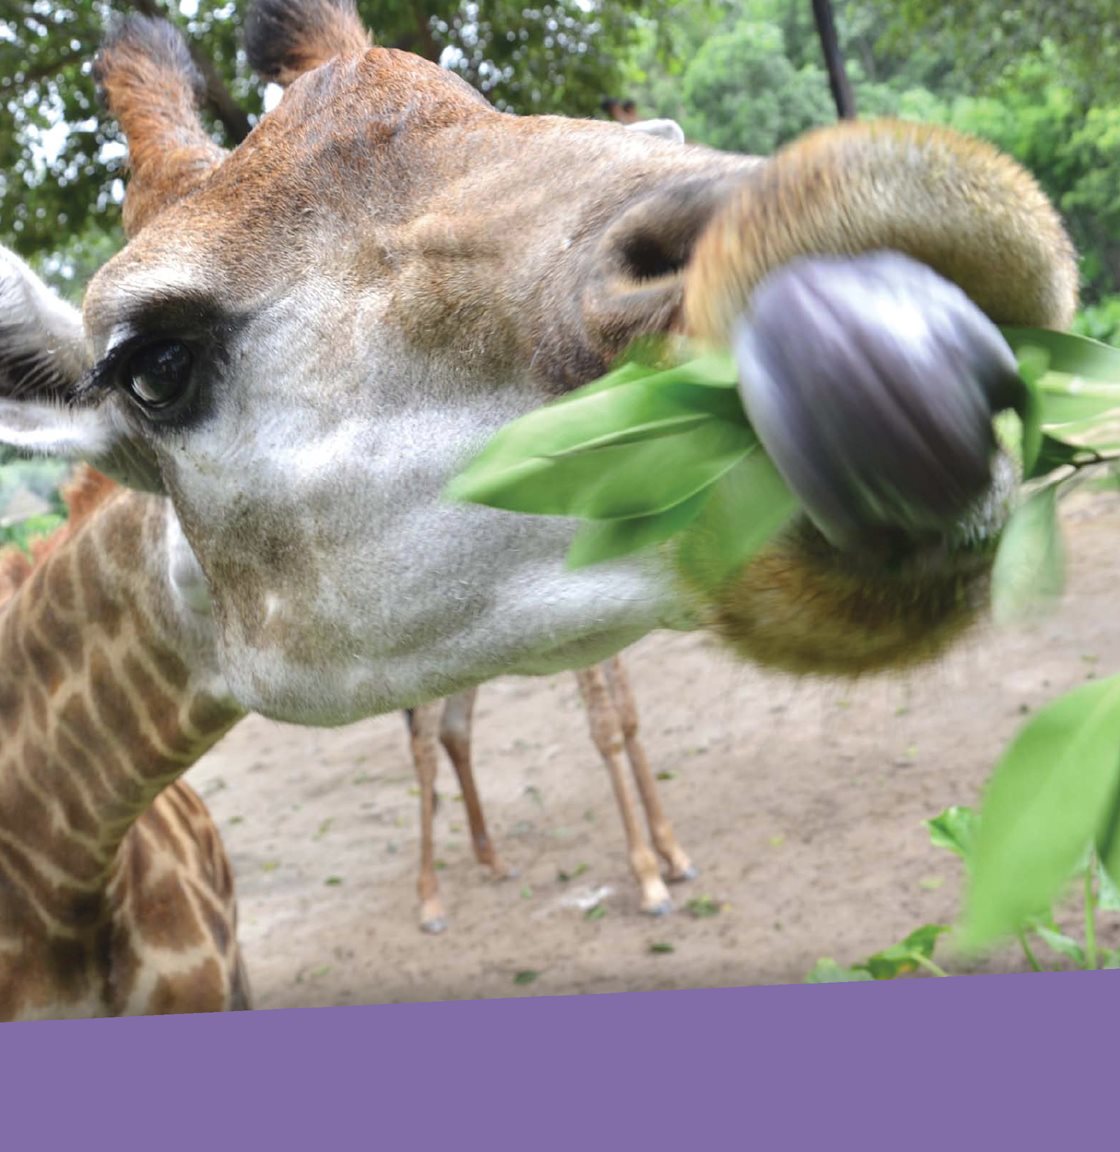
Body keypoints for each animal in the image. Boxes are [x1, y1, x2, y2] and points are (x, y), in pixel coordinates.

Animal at [407, 654, 695, 930]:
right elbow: (607, 728)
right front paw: (650, 883)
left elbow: (628, 715)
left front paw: (673, 856)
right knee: (424, 746)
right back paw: (430, 901)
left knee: (453, 729)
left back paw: (492, 860)